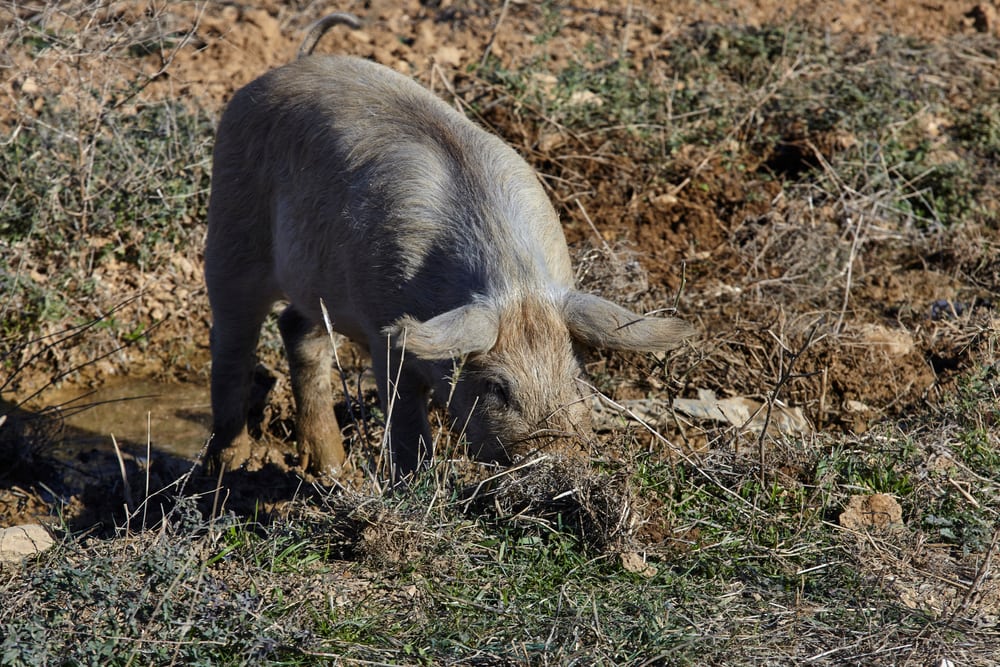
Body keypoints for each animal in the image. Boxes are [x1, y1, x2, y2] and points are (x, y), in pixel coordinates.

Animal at [200, 13, 692, 478]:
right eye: (497, 387)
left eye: (576, 379)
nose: (556, 458)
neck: (513, 281)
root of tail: (295, 62)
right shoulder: (384, 336)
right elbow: (405, 423)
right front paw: (412, 482)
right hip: (230, 227)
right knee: (230, 342)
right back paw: (230, 465)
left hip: (314, 279)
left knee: (298, 330)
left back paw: (333, 471)